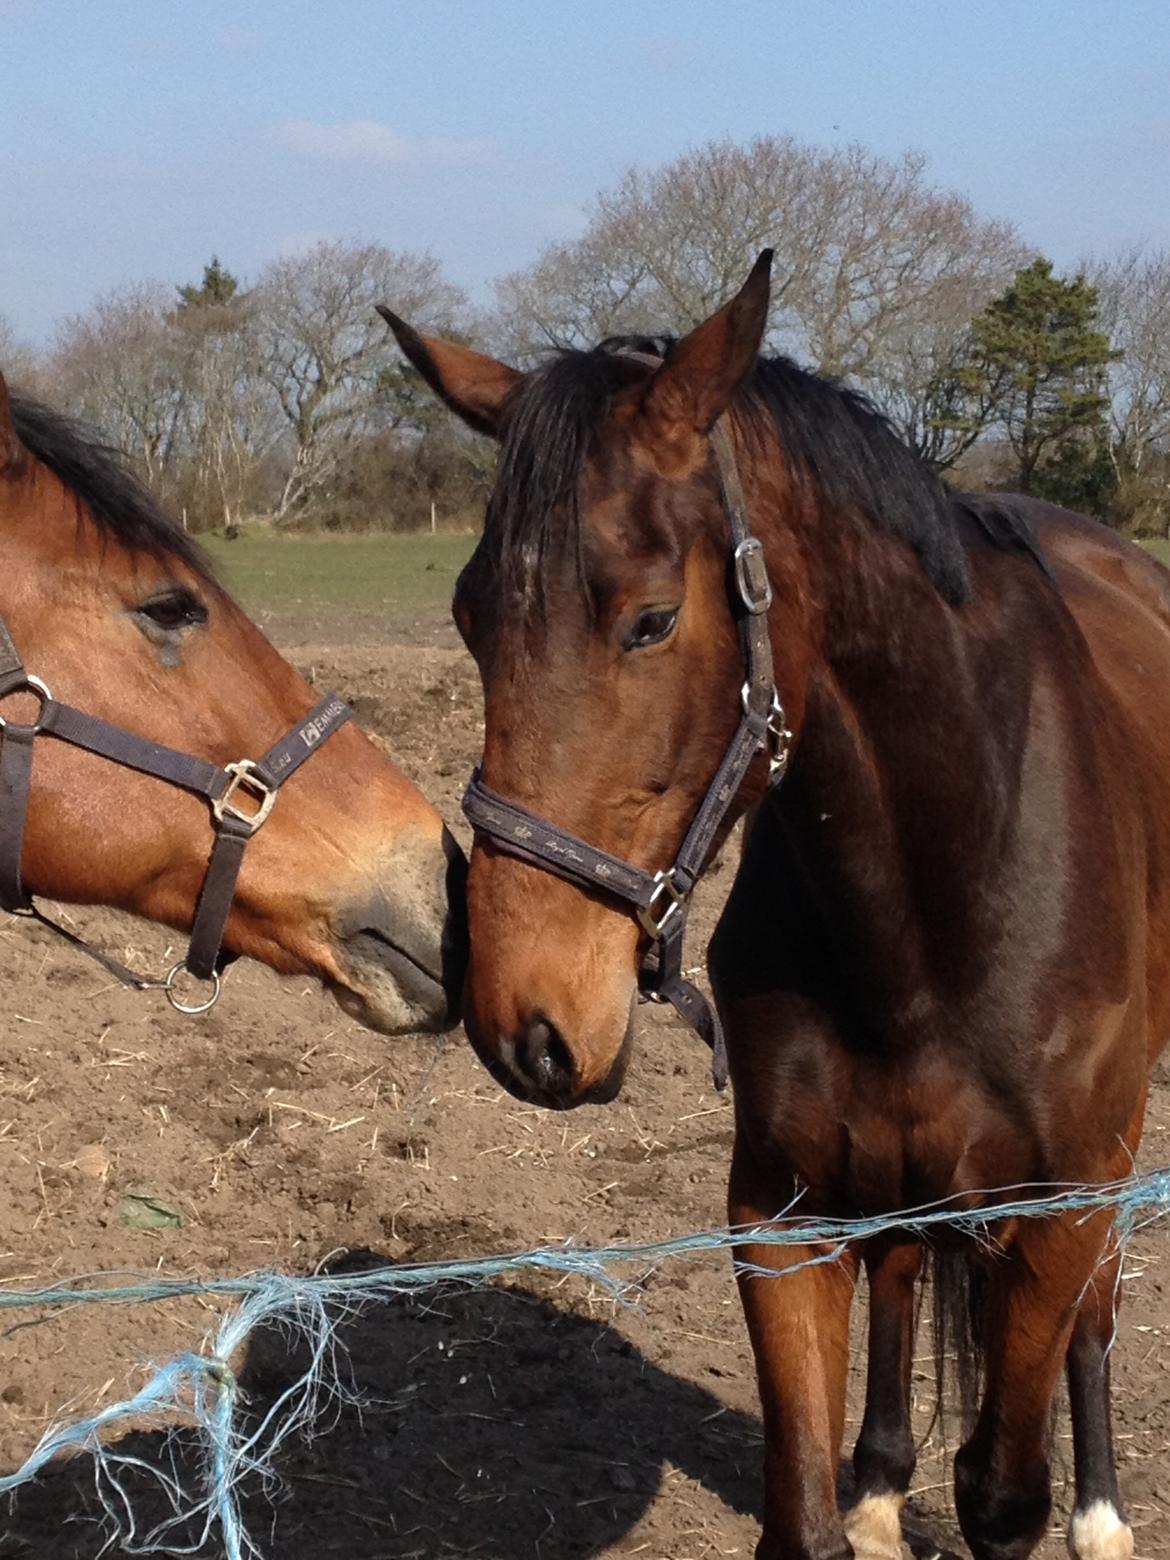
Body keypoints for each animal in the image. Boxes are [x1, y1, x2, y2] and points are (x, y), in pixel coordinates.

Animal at [380, 258, 1166, 1560]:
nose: (522, 1022)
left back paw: (1101, 1514)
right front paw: (862, 1498)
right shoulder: (780, 1214)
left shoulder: (1058, 1205)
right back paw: (883, 1482)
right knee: (899, 1265)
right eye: (466, 614)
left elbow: (1002, 1491)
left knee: (1095, 1315)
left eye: (651, 619)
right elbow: (801, 1513)